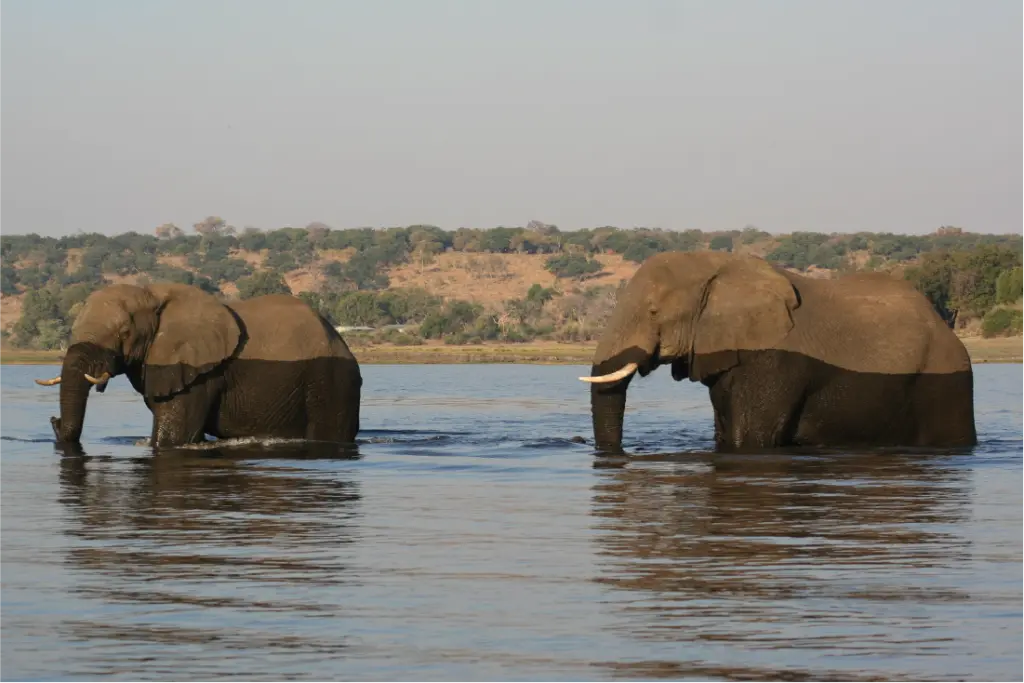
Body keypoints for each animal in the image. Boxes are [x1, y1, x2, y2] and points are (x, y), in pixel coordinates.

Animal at [35, 283, 361, 448]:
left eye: (124, 334)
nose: (54, 420)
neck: (154, 292)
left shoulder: (200, 370)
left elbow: (173, 439)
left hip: (331, 380)